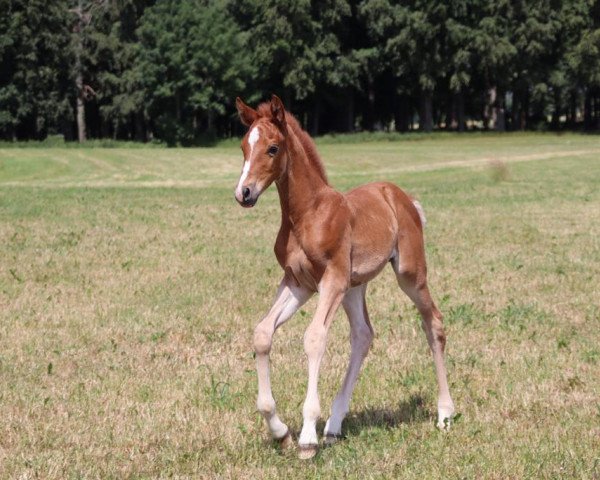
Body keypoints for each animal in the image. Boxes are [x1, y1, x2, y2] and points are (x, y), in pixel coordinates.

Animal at [234, 94, 454, 462]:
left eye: (273, 148)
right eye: (243, 147)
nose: (244, 193)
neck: (307, 213)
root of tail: (402, 197)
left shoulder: (331, 280)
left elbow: (314, 338)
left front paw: (307, 436)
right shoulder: (298, 283)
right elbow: (263, 333)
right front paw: (280, 431)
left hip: (408, 274)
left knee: (433, 322)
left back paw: (445, 412)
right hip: (355, 286)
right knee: (363, 335)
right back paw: (335, 425)